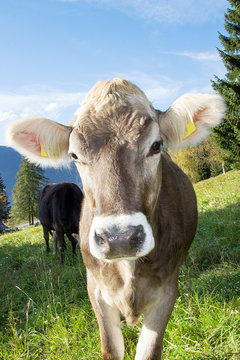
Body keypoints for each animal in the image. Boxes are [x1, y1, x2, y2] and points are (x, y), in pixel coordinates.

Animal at [6, 79, 226, 360]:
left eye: (156, 146)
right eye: (75, 155)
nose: (119, 238)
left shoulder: (166, 291)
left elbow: (149, 351)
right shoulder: (96, 290)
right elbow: (111, 349)